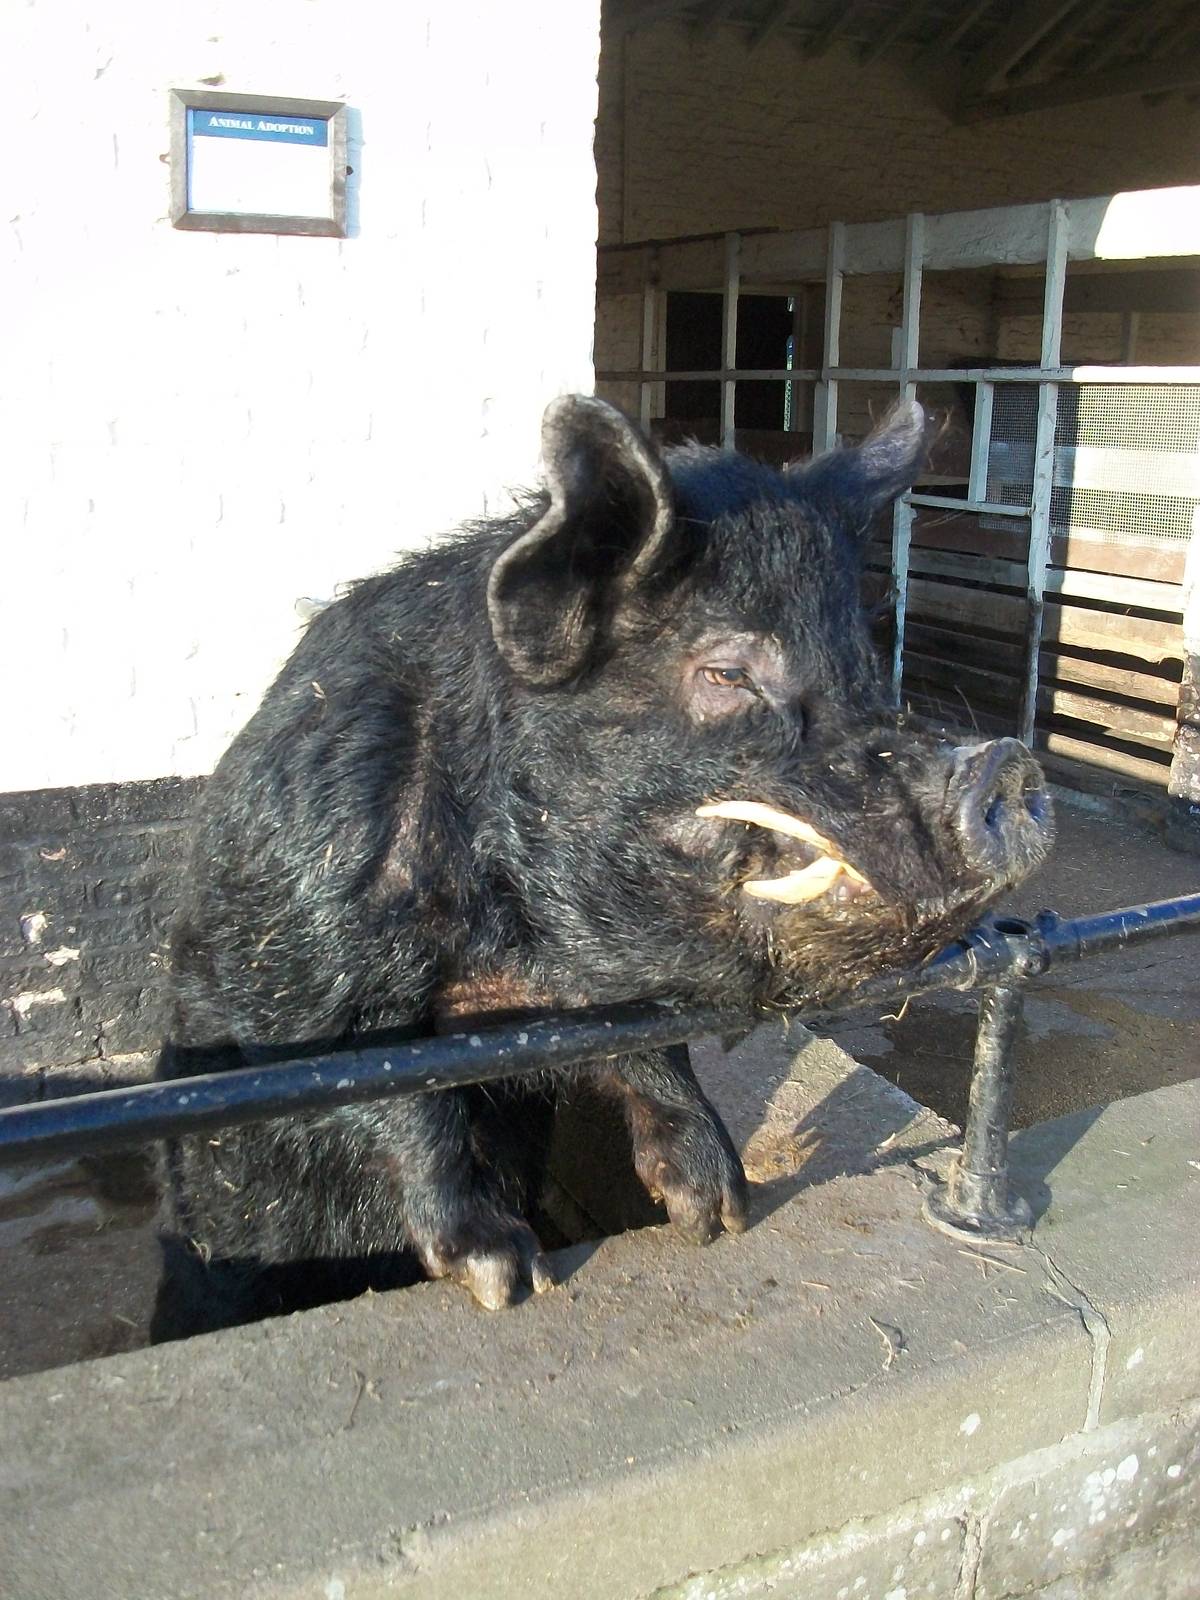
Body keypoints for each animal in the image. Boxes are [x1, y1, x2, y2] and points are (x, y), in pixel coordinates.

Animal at [152, 395, 1052, 1336]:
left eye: (869, 671)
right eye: (727, 672)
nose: (1006, 764)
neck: (516, 962)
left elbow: (648, 1048)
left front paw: (719, 1213)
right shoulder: (306, 970)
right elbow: (390, 1089)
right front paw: (506, 1280)